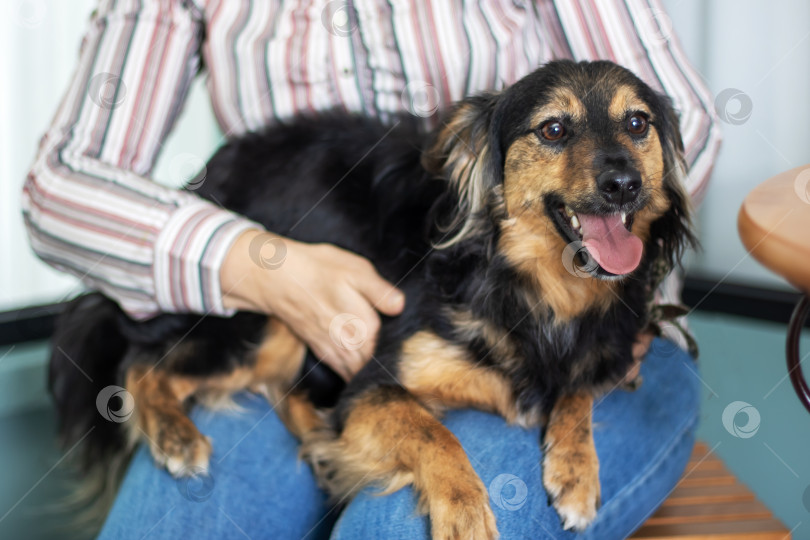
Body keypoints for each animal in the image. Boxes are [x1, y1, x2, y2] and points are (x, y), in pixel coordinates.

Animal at [49, 60, 696, 536]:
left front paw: (576, 469)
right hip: (265, 307)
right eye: (554, 129)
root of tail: (208, 178)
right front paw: (464, 509)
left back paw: (316, 442)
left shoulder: (607, 345)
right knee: (141, 362)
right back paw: (177, 436)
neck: (541, 291)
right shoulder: (373, 385)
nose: (624, 185)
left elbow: (580, 385)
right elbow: (433, 431)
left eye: (637, 124)